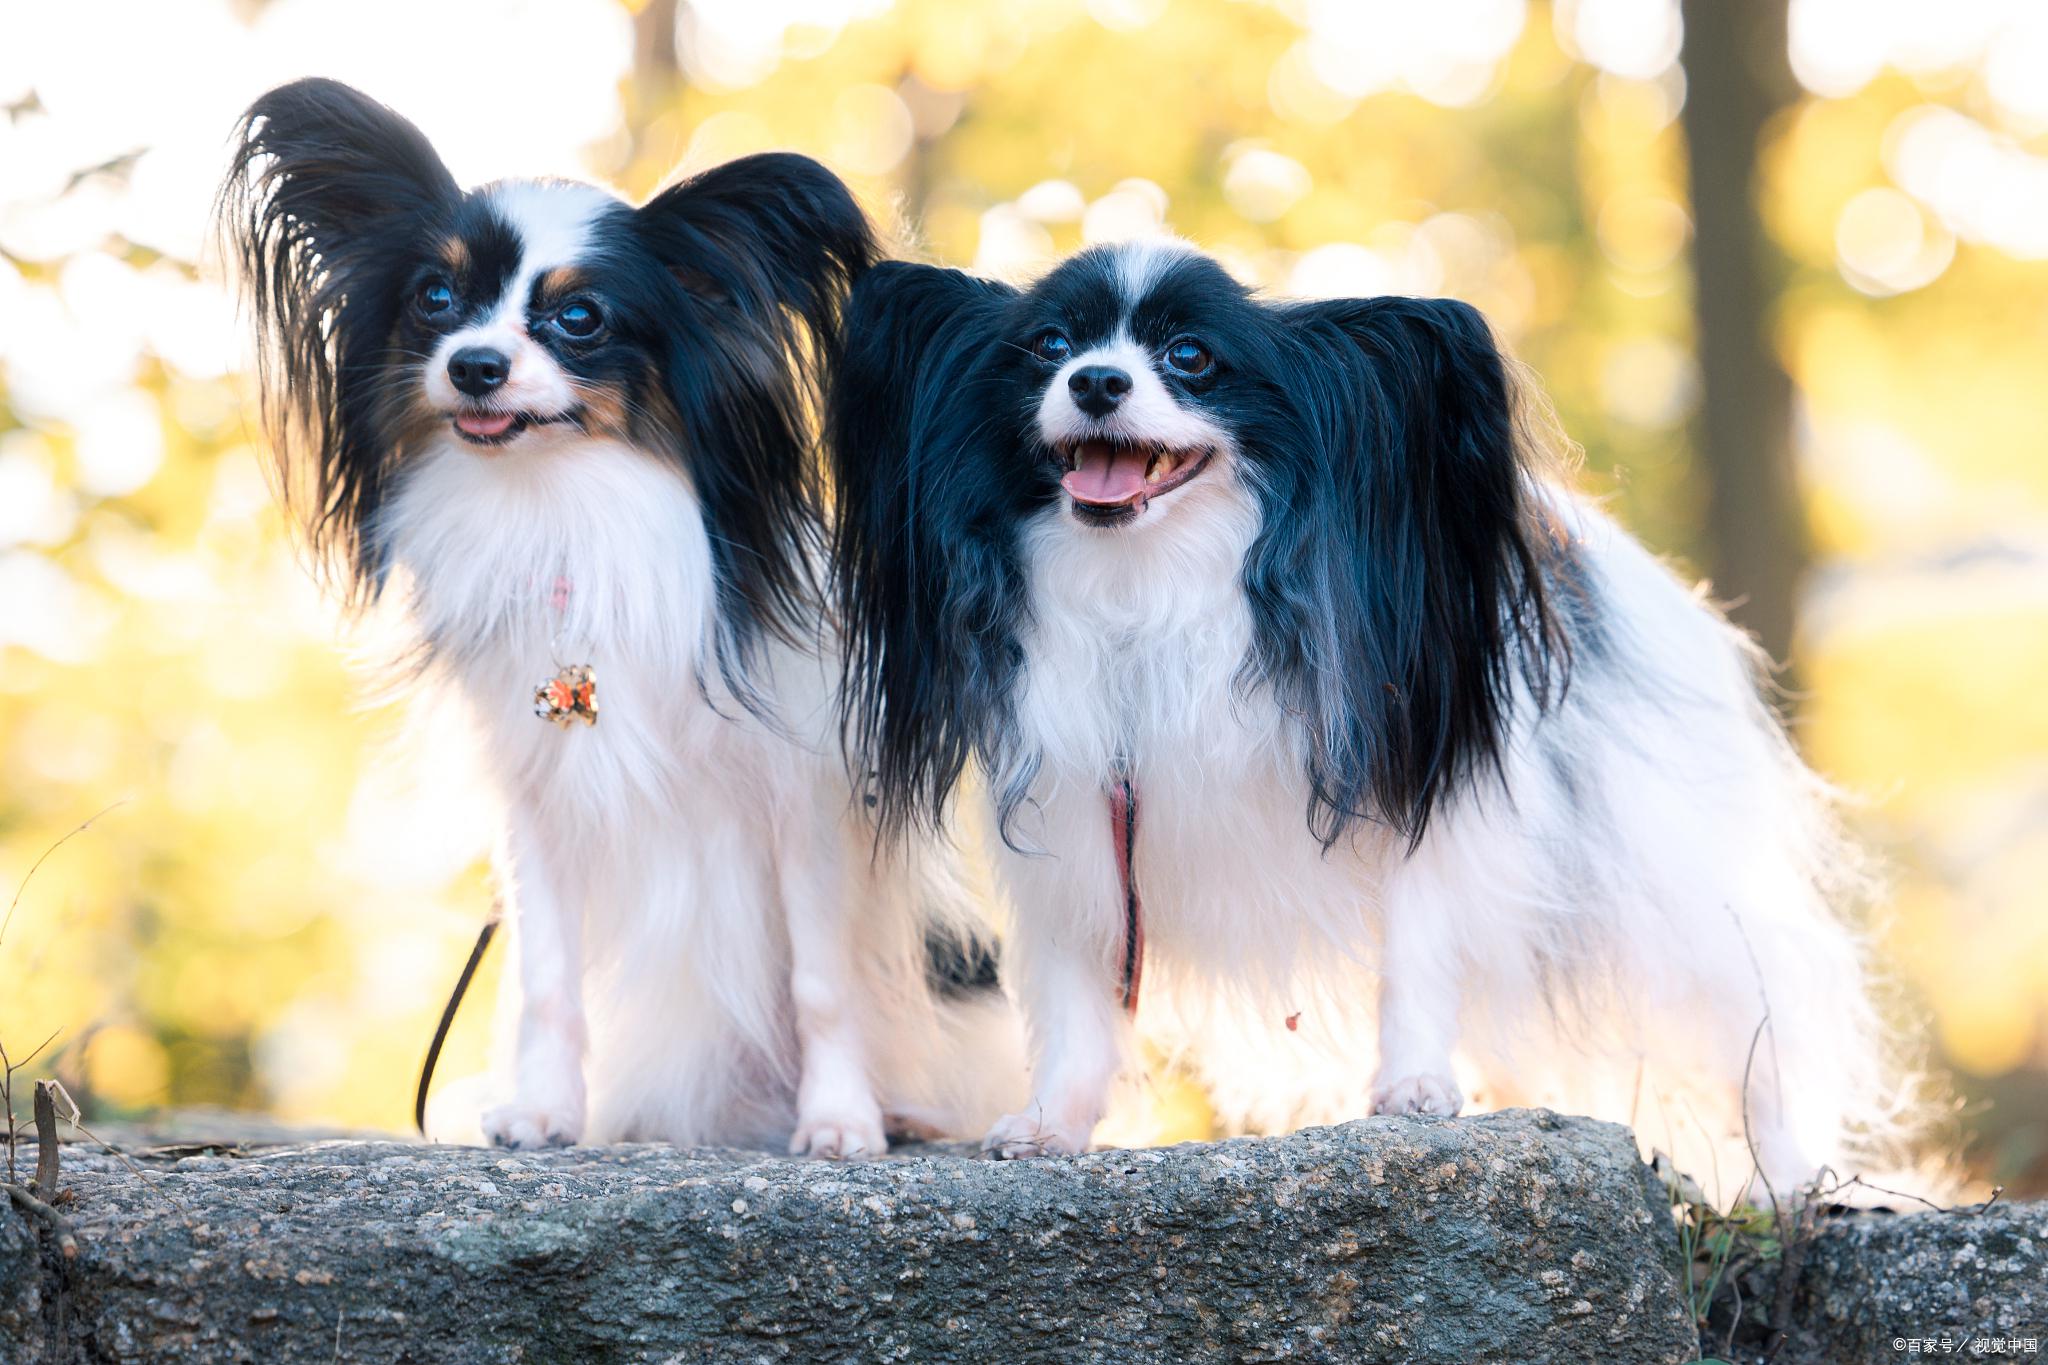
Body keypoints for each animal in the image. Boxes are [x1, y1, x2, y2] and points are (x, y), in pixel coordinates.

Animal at [220, 80, 1019, 1162]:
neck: (564, 510)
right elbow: (548, 980)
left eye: (579, 318)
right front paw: (543, 1113)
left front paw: (840, 1121)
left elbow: (822, 984)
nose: (473, 365)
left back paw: (905, 1110)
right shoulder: (540, 807)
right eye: (435, 299)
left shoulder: (803, 804)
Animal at [823, 245, 1892, 1195]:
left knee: (1752, 1021)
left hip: (1672, 879)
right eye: (1048, 345)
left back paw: (1788, 1182)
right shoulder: (1084, 820)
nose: (1092, 381)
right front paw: (1052, 1122)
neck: (1152, 587)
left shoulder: (1425, 789)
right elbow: (1078, 1000)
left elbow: (1419, 956)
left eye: (1191, 357)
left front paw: (1414, 1087)